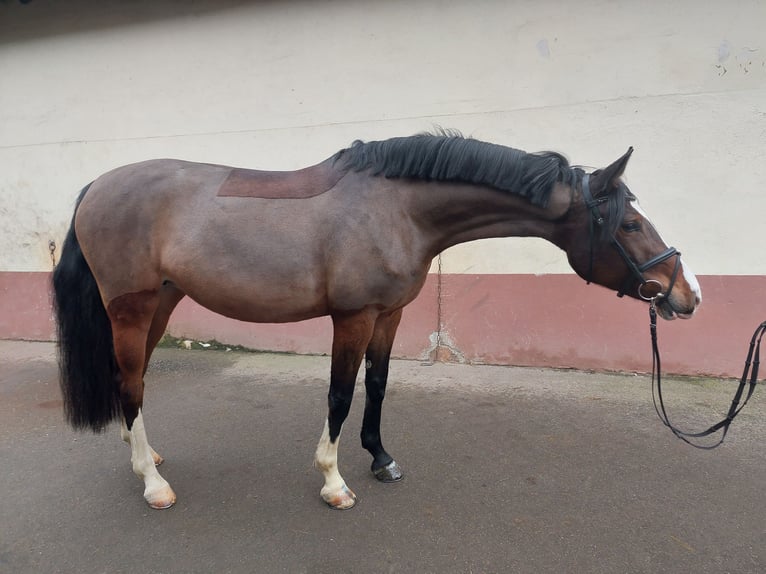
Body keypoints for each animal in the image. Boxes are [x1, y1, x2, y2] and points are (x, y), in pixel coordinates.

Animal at [52, 132, 702, 510]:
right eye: (630, 224)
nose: (687, 295)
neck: (397, 209)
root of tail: (96, 186)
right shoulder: (354, 316)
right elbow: (340, 394)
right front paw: (333, 481)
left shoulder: (389, 314)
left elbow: (379, 386)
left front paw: (381, 459)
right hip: (132, 306)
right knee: (131, 382)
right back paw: (152, 483)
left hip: (162, 302)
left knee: (132, 380)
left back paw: (146, 455)